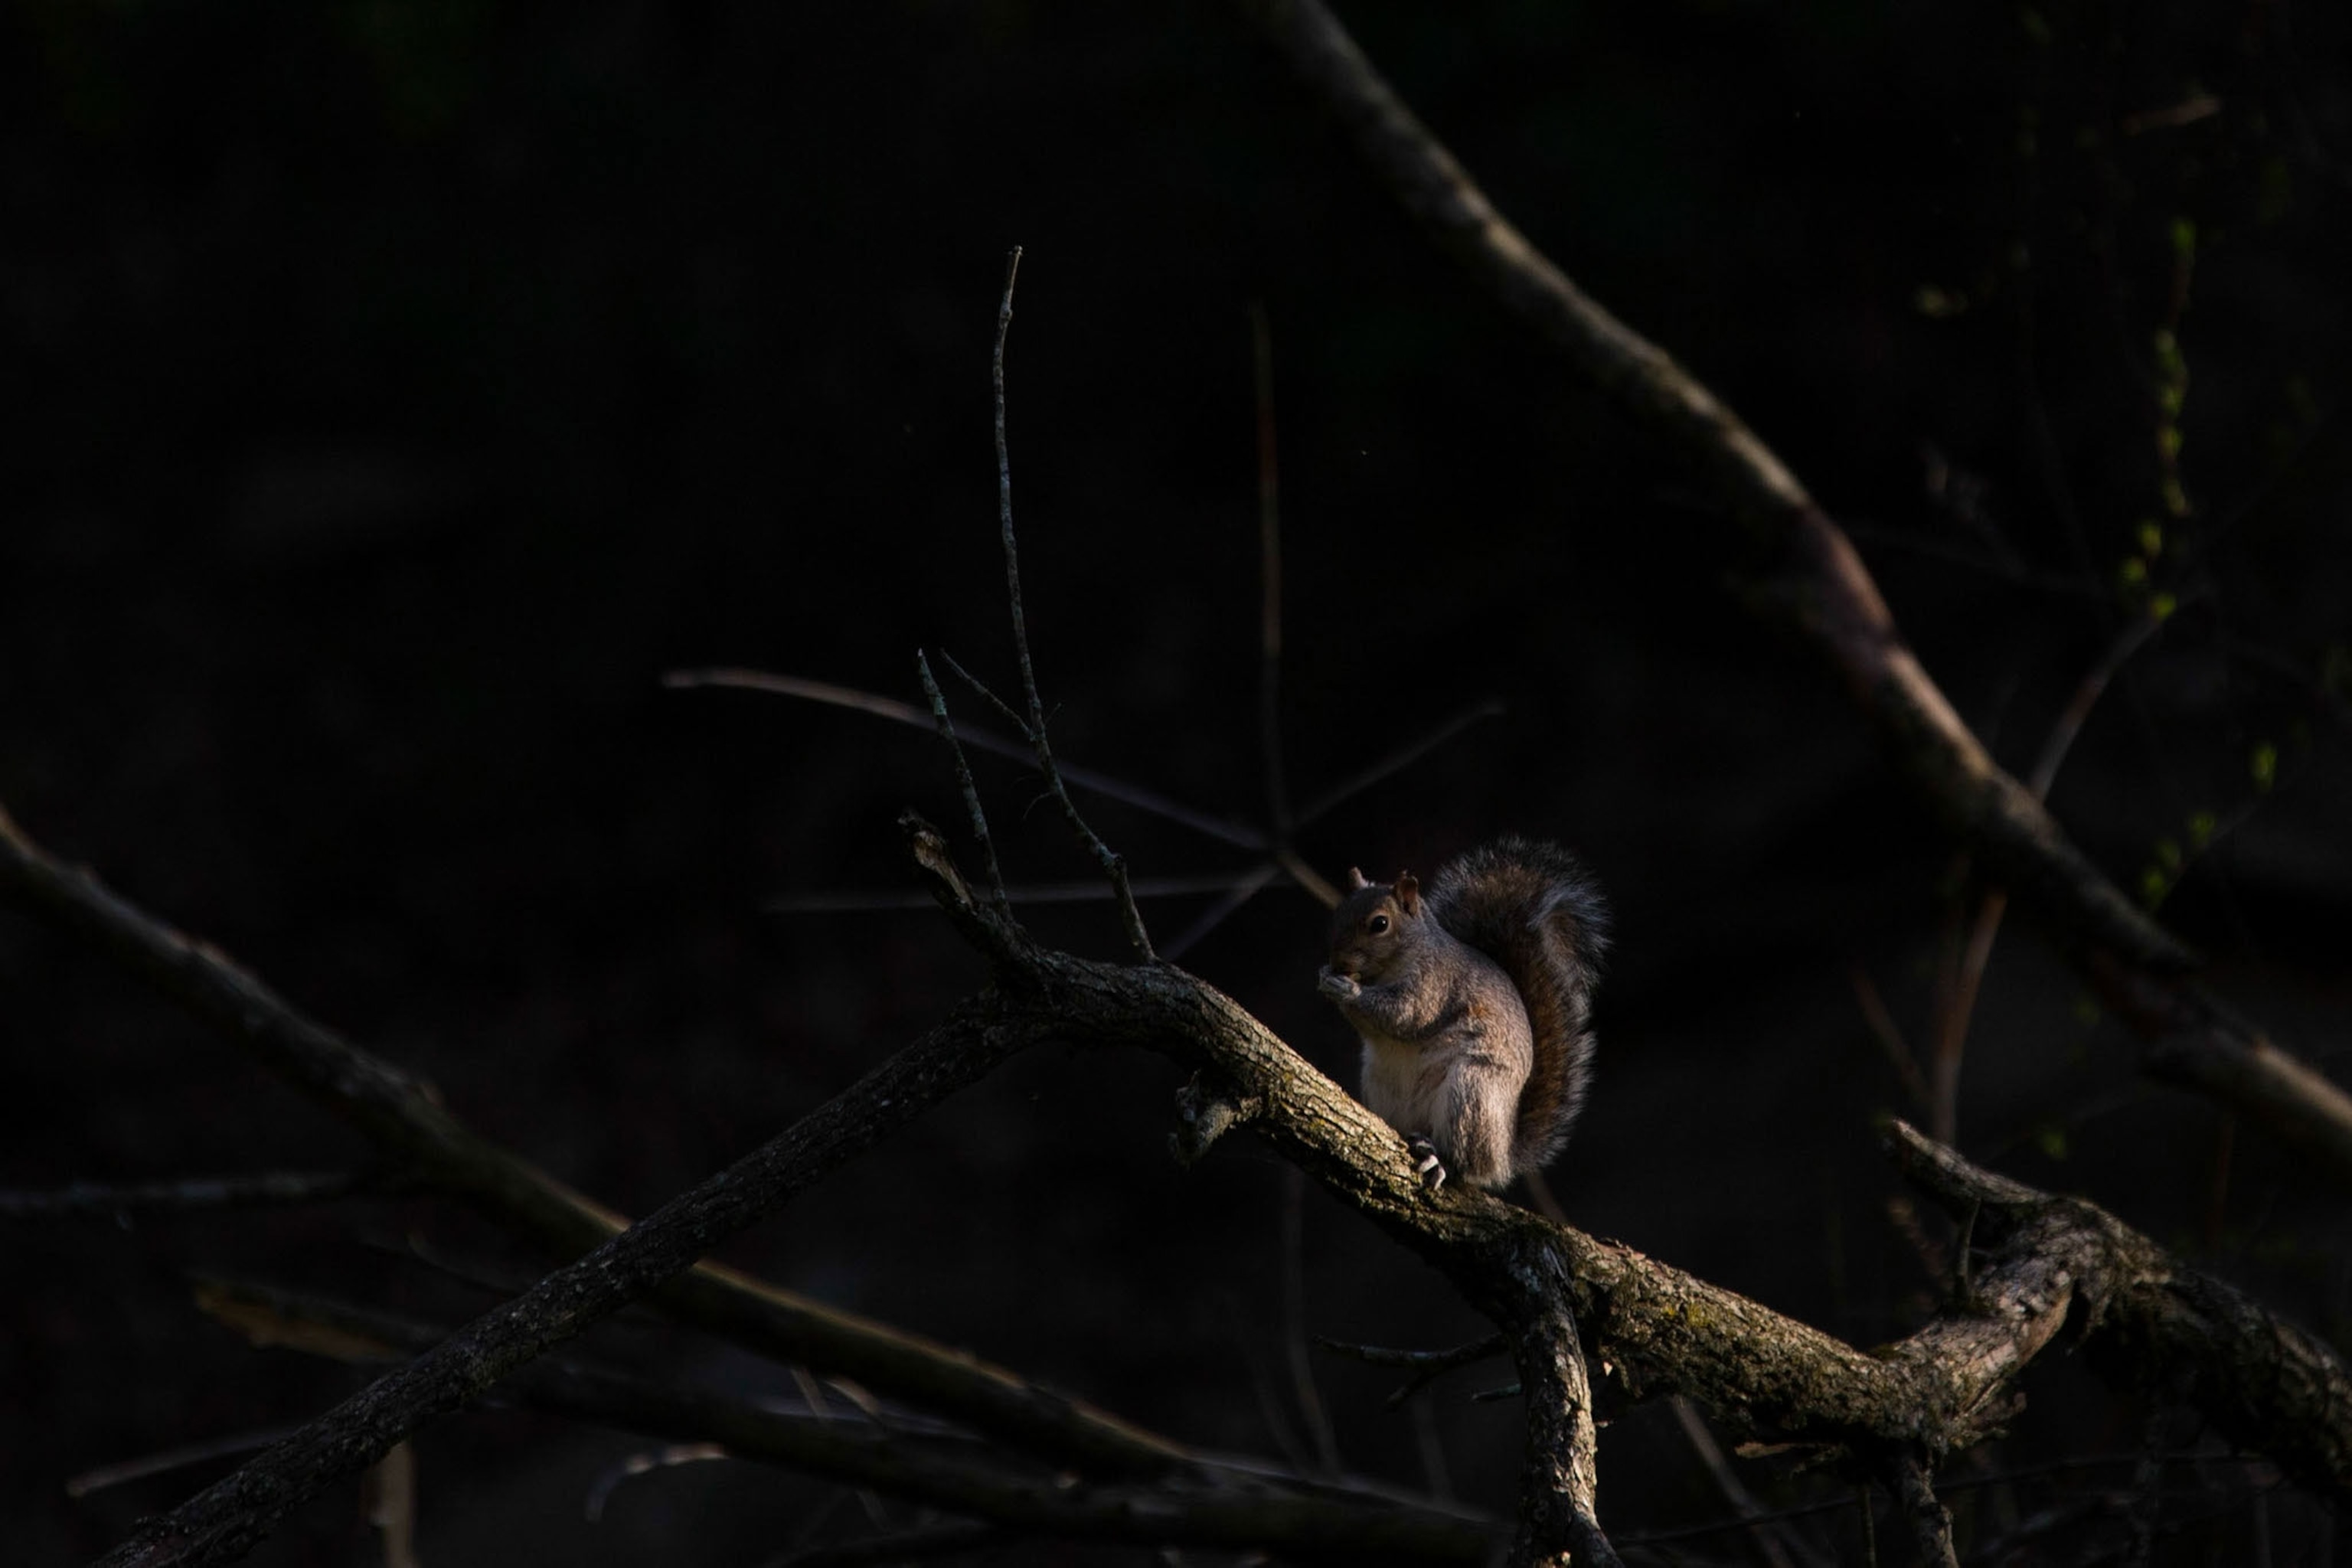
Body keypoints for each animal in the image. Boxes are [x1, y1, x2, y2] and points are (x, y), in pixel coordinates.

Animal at [1315, 837, 1609, 1193]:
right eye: (1339, 914)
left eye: (1380, 924)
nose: (1339, 962)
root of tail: (1503, 1157)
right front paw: (1326, 976)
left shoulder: (1434, 986)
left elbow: (1404, 1015)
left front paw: (1347, 989)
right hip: (1381, 1086)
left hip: (1471, 1093)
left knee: (1465, 1162)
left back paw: (1440, 1160)